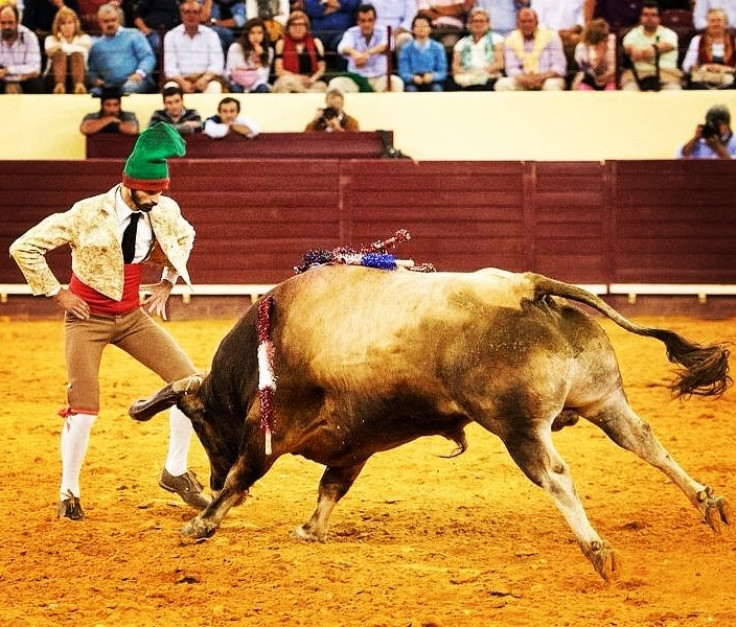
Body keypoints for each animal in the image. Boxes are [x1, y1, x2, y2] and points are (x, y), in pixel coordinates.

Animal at [131, 268, 732, 580]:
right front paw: (311, 530)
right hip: (603, 400)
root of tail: (526, 286)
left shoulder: (267, 430)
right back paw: (708, 503)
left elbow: (245, 478)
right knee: (645, 440)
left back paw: (597, 549)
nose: (206, 478)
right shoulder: (354, 444)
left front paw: (200, 523)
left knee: (556, 474)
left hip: (517, 427)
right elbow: (331, 486)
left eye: (200, 420)